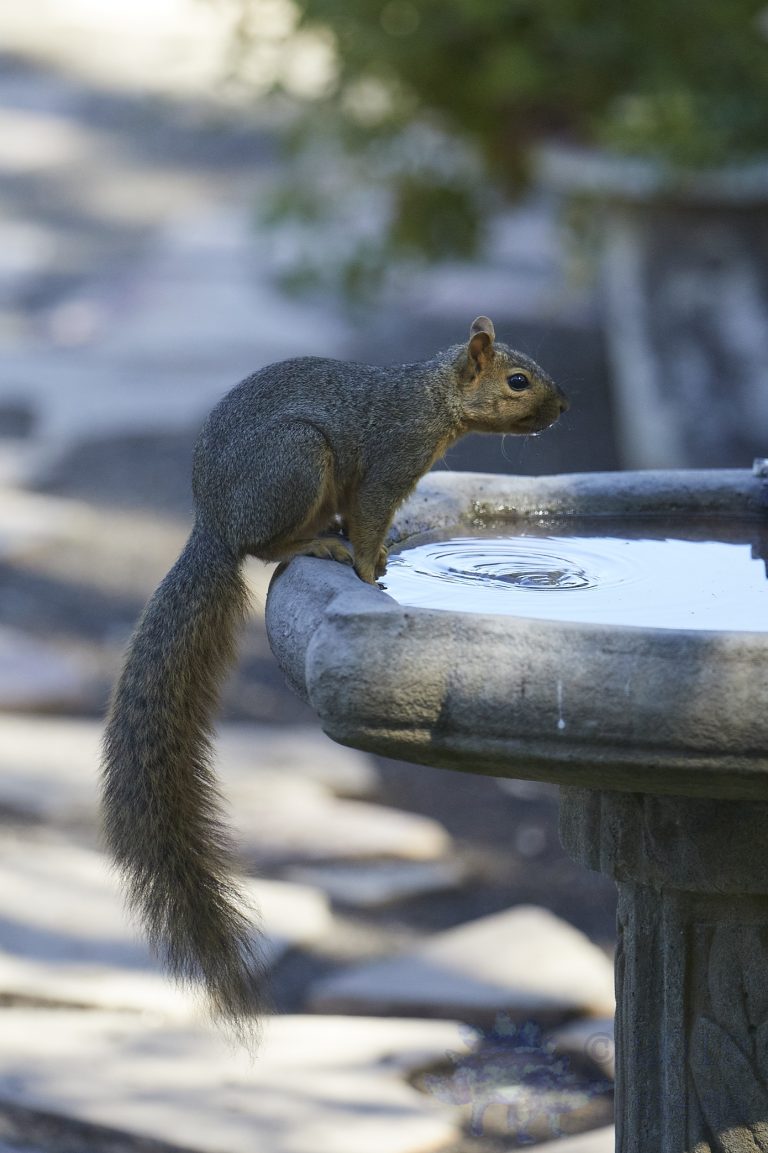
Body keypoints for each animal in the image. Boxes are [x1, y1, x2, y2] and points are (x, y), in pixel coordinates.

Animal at [100, 316, 568, 1035]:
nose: (563, 405)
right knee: (264, 546)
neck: (429, 401)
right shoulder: (387, 464)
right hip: (296, 461)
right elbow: (371, 523)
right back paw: (313, 543)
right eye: (518, 381)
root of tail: (213, 523)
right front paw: (375, 575)